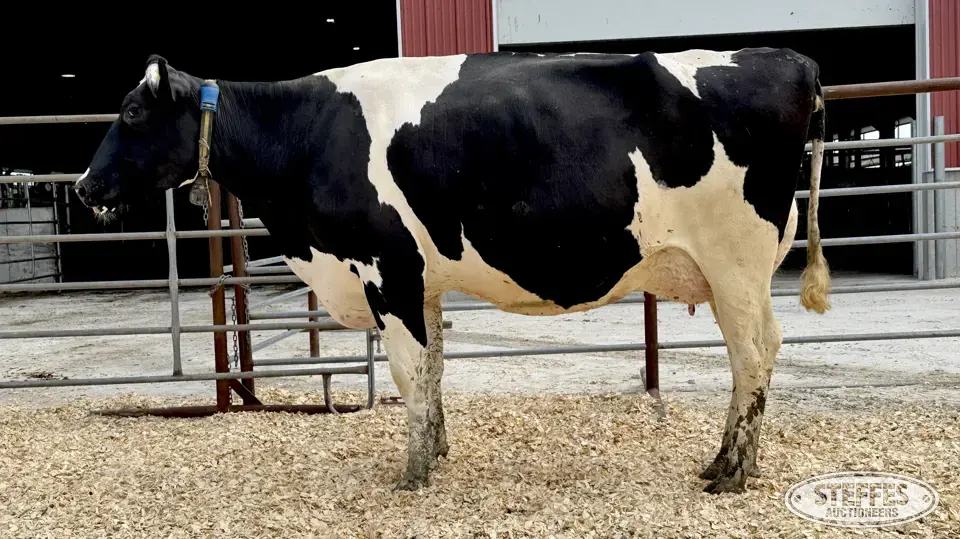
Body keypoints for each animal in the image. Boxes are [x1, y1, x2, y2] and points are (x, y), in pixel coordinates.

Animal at [74, 48, 831, 494]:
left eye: (132, 111)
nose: (83, 185)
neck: (309, 134)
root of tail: (788, 59)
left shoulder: (385, 267)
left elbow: (409, 371)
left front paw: (412, 474)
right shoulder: (421, 279)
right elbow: (434, 368)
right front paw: (435, 451)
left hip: (736, 262)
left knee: (754, 353)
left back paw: (731, 470)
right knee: (754, 356)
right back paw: (731, 462)